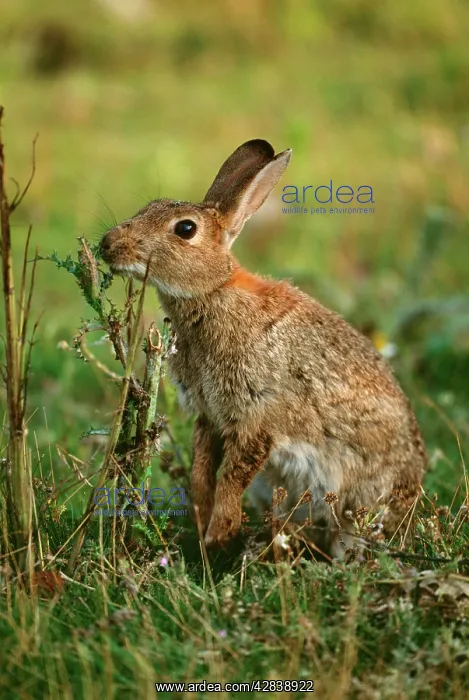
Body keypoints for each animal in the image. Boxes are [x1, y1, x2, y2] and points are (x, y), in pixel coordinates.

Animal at [100, 139, 427, 557]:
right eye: (150, 206)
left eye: (185, 229)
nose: (109, 244)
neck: (213, 292)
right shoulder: (209, 417)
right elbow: (203, 469)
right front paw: (203, 517)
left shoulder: (257, 417)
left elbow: (234, 473)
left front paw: (218, 531)